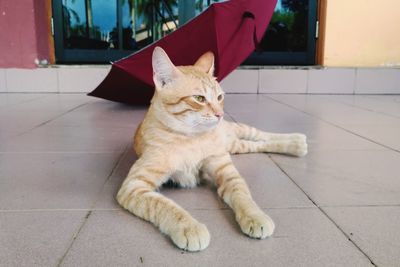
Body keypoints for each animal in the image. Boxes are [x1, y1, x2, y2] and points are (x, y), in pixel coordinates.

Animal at [117, 47, 308, 252]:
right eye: (199, 98)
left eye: (219, 97)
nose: (220, 114)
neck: (191, 139)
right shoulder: (134, 186)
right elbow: (163, 205)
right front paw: (189, 227)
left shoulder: (225, 169)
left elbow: (242, 194)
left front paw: (255, 216)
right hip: (236, 146)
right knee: (258, 144)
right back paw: (297, 144)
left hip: (237, 132)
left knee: (261, 135)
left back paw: (296, 141)